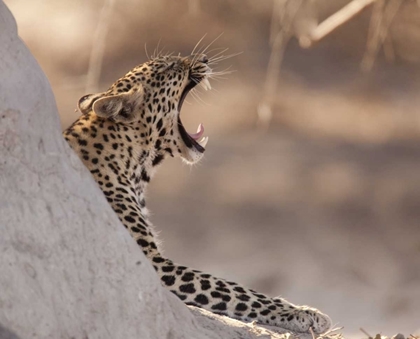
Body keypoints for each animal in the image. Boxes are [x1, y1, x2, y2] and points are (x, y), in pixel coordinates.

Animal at [63, 53, 332, 334]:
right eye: (170, 67)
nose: (203, 58)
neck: (134, 165)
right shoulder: (153, 264)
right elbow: (230, 287)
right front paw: (303, 313)